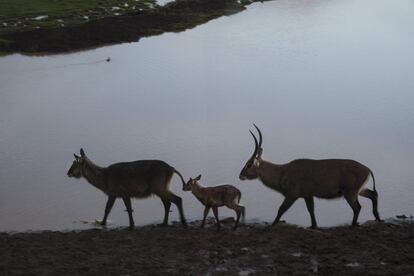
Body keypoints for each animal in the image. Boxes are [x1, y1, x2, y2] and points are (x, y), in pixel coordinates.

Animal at [239, 125, 382, 229]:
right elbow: (311, 210)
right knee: (373, 194)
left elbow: (281, 209)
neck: (282, 172)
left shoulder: (292, 195)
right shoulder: (308, 195)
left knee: (358, 207)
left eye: (249, 164)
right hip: (359, 190)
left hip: (349, 192)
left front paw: (272, 225)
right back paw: (378, 218)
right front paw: (313, 226)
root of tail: (368, 169)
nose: (240, 175)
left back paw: (353, 224)